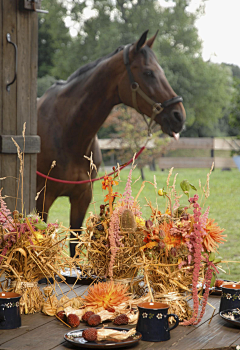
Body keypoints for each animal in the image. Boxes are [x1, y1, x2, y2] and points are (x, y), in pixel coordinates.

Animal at [37, 31, 186, 256]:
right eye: (148, 72)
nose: (179, 116)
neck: (66, 132)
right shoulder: (43, 199)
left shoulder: (82, 197)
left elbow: (74, 247)